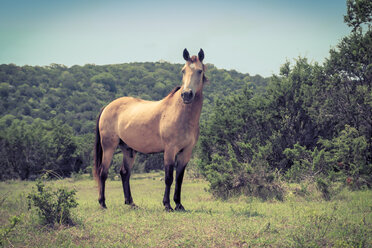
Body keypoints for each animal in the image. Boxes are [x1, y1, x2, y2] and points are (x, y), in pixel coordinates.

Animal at [93, 48, 208, 211]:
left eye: (199, 71)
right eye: (183, 70)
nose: (186, 94)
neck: (180, 113)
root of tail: (107, 106)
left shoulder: (186, 152)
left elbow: (179, 179)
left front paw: (179, 204)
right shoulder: (170, 150)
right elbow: (168, 178)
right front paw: (167, 205)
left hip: (128, 149)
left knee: (124, 173)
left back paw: (131, 203)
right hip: (109, 147)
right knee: (103, 172)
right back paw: (103, 203)